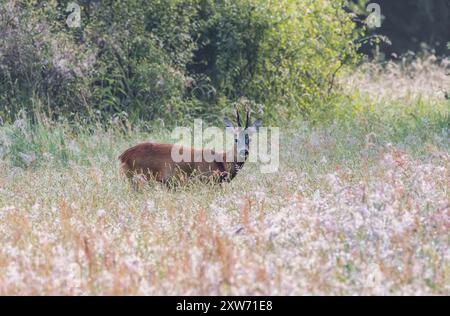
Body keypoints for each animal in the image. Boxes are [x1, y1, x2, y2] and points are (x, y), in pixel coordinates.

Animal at [118, 109, 262, 188]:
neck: (221, 161)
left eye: (250, 139)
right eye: (235, 139)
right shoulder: (206, 181)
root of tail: (122, 156)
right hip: (139, 178)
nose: (244, 151)